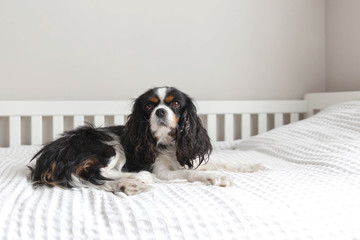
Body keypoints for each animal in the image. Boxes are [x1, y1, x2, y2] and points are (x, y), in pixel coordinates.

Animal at [29, 86, 262, 195]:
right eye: (149, 106)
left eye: (175, 103)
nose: (160, 111)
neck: (168, 142)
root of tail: (47, 157)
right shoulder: (161, 171)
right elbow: (189, 173)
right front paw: (216, 177)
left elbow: (219, 163)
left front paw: (251, 166)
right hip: (107, 145)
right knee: (92, 173)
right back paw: (135, 178)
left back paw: (127, 185)